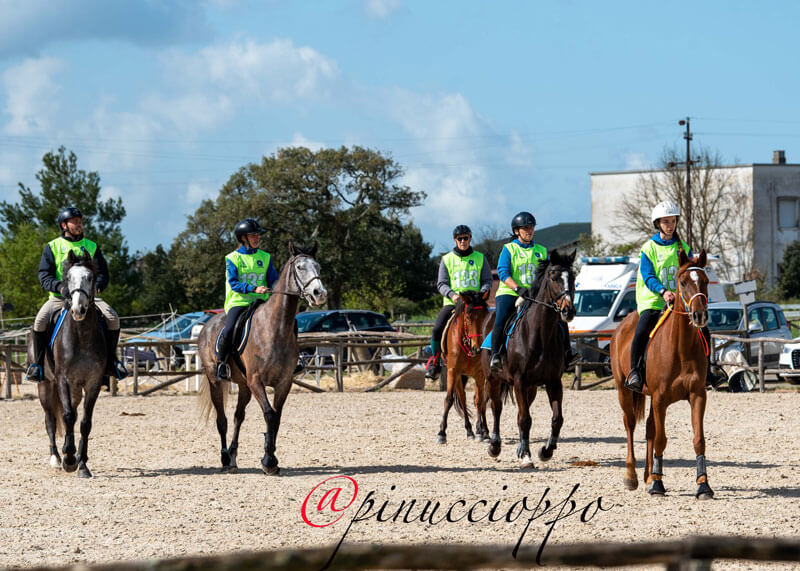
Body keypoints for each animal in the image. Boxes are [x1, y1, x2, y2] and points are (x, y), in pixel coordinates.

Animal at [29, 250, 107, 478]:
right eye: (68, 278)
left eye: (90, 277)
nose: (78, 309)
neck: (81, 336)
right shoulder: (63, 379)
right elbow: (67, 416)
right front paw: (70, 459)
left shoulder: (93, 383)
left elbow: (84, 422)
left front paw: (82, 464)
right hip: (46, 385)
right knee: (51, 420)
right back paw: (56, 457)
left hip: (75, 390)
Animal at [197, 242, 327, 474]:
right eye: (300, 267)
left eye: (318, 266)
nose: (319, 293)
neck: (275, 329)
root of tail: (208, 325)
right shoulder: (257, 381)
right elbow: (269, 414)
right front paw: (268, 460)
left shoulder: (283, 382)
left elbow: (277, 417)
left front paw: (271, 458)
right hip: (216, 381)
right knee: (222, 420)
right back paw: (225, 459)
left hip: (244, 386)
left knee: (238, 416)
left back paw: (233, 456)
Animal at [436, 291, 491, 444]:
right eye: (468, 316)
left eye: (485, 316)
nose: (477, 348)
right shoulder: (452, 371)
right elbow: (449, 399)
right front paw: (441, 433)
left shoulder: (480, 374)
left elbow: (480, 402)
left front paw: (484, 432)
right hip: (459, 376)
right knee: (462, 398)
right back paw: (470, 431)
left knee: (479, 400)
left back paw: (480, 431)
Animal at [482, 249, 576, 466]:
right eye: (554, 277)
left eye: (573, 277)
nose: (568, 310)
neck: (540, 334)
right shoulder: (519, 380)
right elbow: (525, 419)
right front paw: (526, 455)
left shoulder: (553, 382)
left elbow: (557, 419)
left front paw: (546, 450)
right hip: (493, 378)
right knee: (496, 408)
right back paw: (495, 445)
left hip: (531, 388)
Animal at [610, 249, 714, 499]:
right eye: (683, 282)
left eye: (705, 281)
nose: (699, 316)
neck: (681, 347)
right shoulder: (660, 399)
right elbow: (660, 439)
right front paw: (658, 484)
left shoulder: (697, 396)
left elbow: (698, 440)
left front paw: (703, 485)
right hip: (623, 391)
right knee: (630, 425)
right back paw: (632, 476)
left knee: (648, 428)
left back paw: (648, 476)